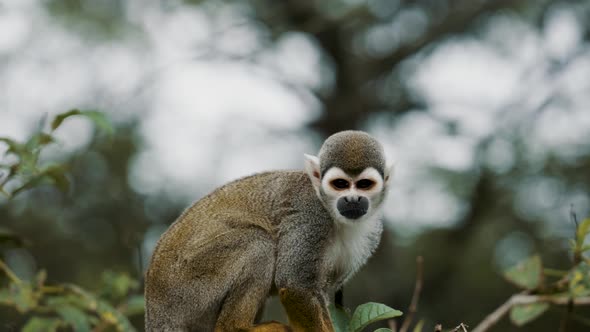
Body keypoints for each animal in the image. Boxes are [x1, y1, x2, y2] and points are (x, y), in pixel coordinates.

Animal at [145, 131, 394, 330]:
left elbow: (320, 292)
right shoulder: (311, 215)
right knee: (258, 243)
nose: (352, 200)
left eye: (364, 184)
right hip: (186, 287)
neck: (335, 216)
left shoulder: (371, 234)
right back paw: (237, 327)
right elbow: (295, 285)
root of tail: (155, 307)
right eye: (340, 184)